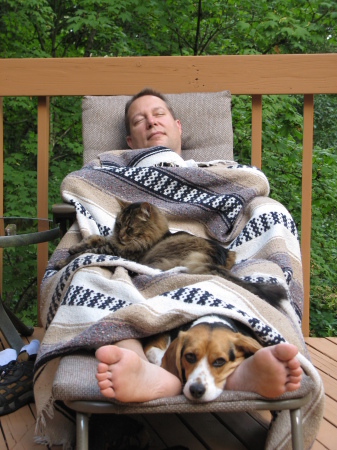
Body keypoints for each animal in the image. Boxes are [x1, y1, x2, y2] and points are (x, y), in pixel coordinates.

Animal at [55, 201, 286, 304]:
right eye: (118, 224)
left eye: (129, 228)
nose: (120, 234)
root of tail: (216, 258)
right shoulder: (111, 243)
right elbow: (92, 239)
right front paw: (73, 248)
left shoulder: (120, 251)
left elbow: (89, 250)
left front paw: (63, 261)